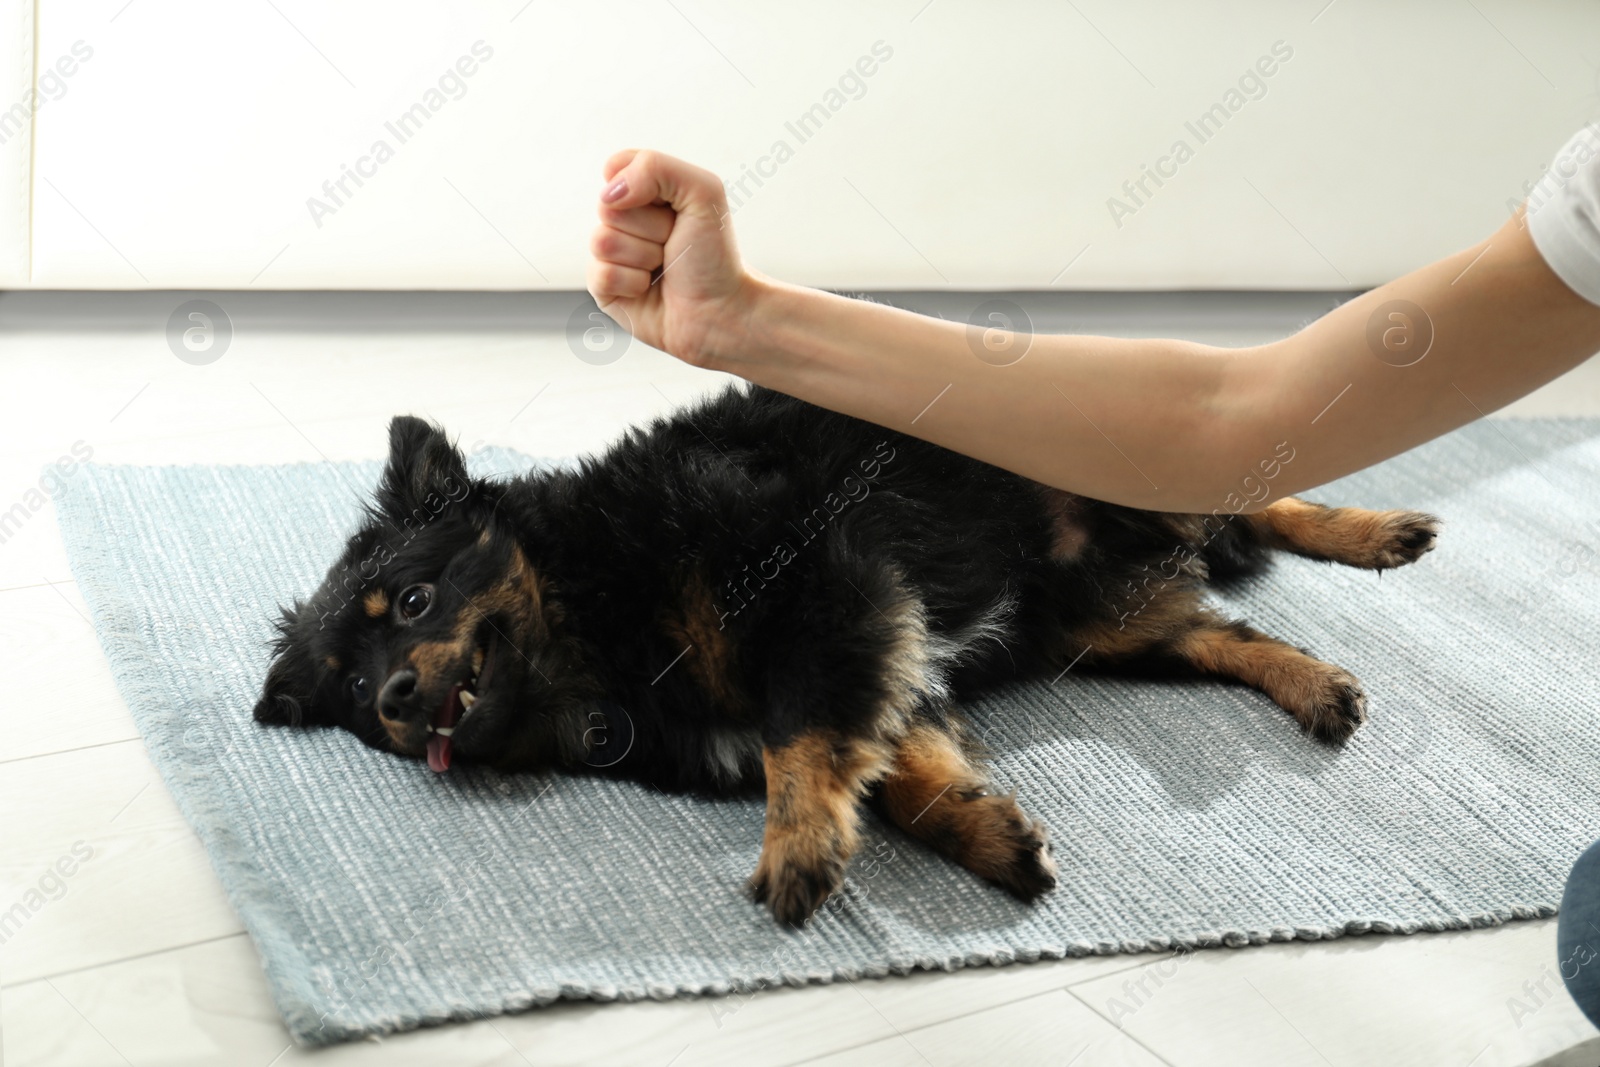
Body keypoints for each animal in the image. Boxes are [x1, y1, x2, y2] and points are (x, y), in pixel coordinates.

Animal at [252, 383, 1440, 927]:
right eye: (350, 689)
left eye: (414, 597)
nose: (397, 694)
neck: (595, 609)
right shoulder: (892, 661)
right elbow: (903, 773)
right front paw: (988, 835)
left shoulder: (825, 592)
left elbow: (803, 735)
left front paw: (798, 847)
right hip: (1093, 621)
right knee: (1222, 627)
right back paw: (1318, 684)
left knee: (1264, 487)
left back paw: (1378, 529)